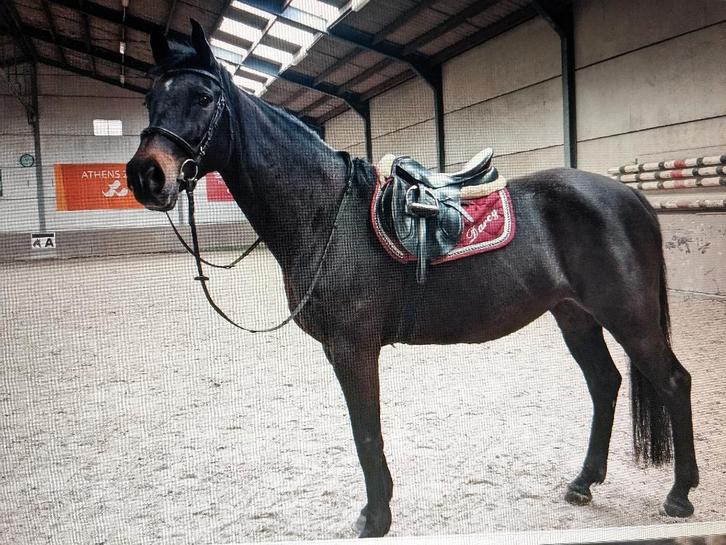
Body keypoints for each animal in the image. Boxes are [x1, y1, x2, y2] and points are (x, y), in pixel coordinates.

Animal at [126, 20, 699, 538]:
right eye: (151, 98)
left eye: (203, 96)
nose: (146, 175)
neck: (327, 214)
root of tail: (628, 196)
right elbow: (366, 432)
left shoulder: (353, 347)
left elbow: (366, 433)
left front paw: (375, 519)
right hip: (575, 315)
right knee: (605, 384)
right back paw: (583, 483)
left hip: (629, 317)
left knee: (673, 381)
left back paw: (679, 495)